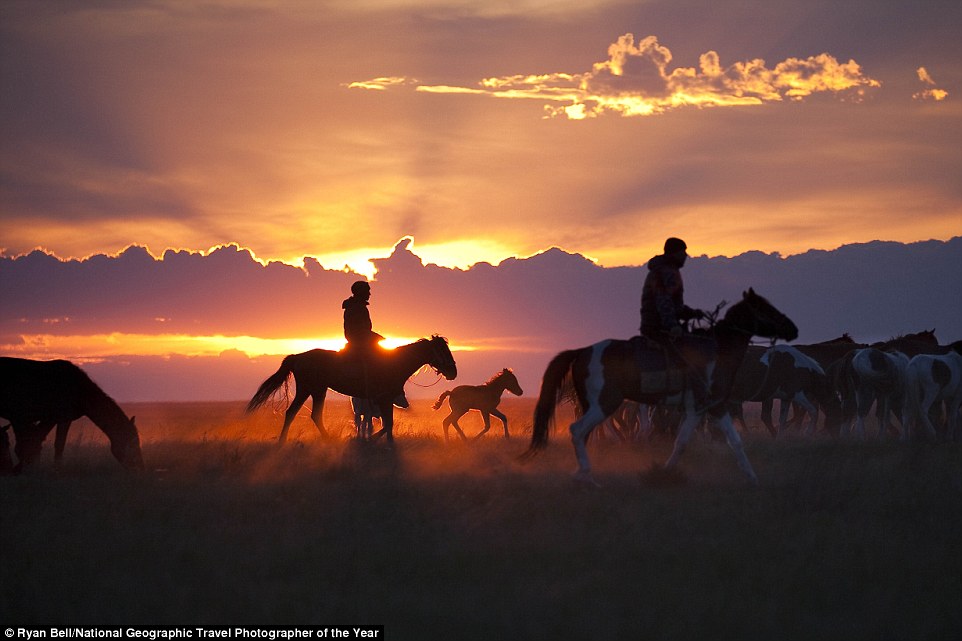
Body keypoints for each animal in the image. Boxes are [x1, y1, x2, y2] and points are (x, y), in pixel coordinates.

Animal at [0, 358, 144, 472]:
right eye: (132, 442)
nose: (139, 466)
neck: (79, 390)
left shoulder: (63, 419)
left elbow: (54, 444)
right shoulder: (51, 418)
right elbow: (39, 442)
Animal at [248, 332, 458, 442]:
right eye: (442, 350)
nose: (453, 372)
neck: (395, 363)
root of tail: (297, 357)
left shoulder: (385, 400)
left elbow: (387, 424)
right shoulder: (384, 398)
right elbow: (386, 424)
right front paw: (374, 442)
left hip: (315, 390)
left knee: (303, 414)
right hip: (311, 389)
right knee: (300, 413)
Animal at [520, 290, 800, 484]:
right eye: (766, 308)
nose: (793, 329)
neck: (716, 351)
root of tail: (583, 351)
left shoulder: (706, 407)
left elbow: (713, 441)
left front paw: (751, 477)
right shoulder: (708, 405)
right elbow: (701, 441)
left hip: (591, 404)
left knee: (585, 433)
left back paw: (581, 472)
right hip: (604, 403)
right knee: (577, 430)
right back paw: (586, 477)